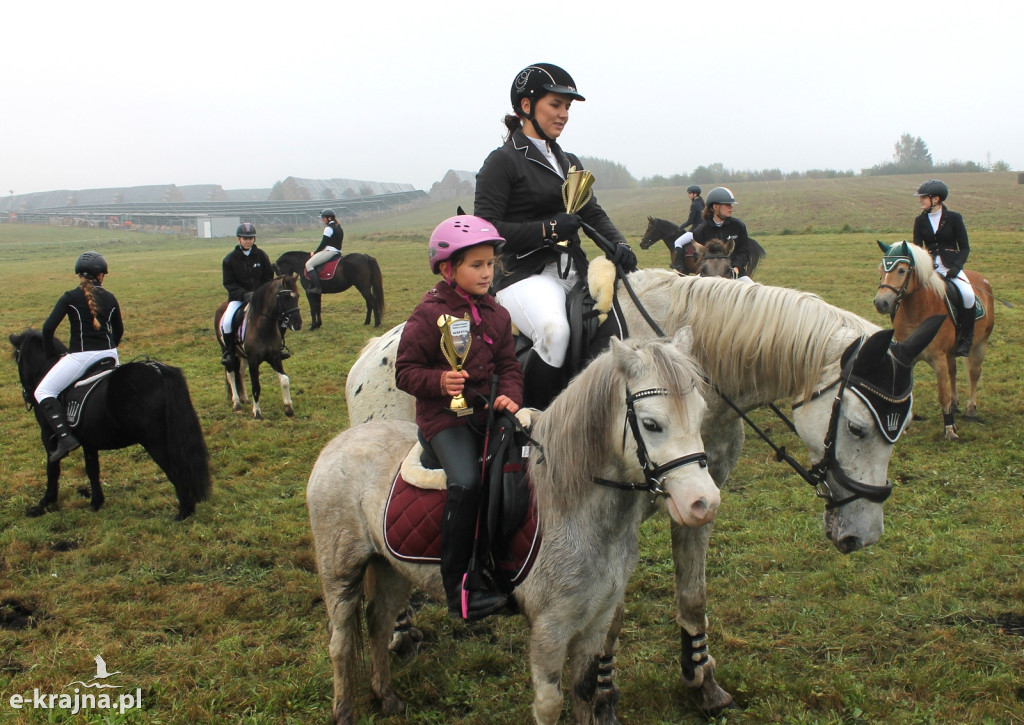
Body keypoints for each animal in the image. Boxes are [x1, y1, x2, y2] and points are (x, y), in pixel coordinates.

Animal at [9, 327, 212, 520]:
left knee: (174, 468)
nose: (27, 396)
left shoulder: (48, 435)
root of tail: (158, 370)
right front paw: (95, 502)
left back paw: (184, 511)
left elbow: (53, 468)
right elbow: (92, 469)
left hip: (155, 440)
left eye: (17, 357)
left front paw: (45, 502)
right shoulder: (88, 441)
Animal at [307, 333, 716, 724]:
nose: (705, 502)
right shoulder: (551, 628)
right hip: (340, 573)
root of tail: (338, 443)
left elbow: (585, 695)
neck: (571, 507)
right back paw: (344, 712)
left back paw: (387, 697)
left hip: (390, 568)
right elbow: (550, 705)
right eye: (651, 424)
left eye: (702, 415)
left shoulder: (595, 622)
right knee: (340, 642)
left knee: (379, 623)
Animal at [346, 268, 942, 716]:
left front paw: (702, 682)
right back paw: (400, 633)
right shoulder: (619, 509)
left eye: (904, 427)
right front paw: (603, 691)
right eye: (860, 429)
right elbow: (611, 615)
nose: (863, 535)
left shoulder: (698, 503)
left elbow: (692, 595)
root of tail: (371, 354)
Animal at [872, 240, 991, 438]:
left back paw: (970, 409)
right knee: (953, 372)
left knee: (974, 373)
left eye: (902, 270)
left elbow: (942, 394)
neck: (918, 312)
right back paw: (955, 404)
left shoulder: (938, 358)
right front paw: (905, 426)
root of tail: (983, 280)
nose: (881, 303)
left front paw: (949, 429)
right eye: (881, 269)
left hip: (979, 345)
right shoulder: (908, 358)